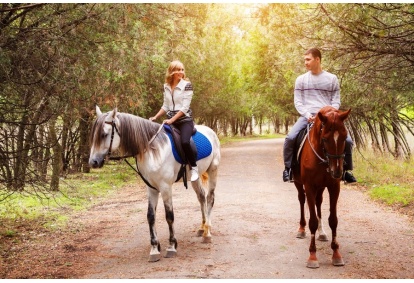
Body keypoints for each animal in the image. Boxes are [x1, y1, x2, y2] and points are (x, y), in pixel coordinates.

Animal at [89, 106, 222, 262]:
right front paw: (154, 248)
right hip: (194, 178)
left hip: (213, 170)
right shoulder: (151, 188)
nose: (93, 162)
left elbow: (169, 216)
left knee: (210, 198)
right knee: (201, 197)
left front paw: (171, 246)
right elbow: (150, 216)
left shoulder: (165, 187)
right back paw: (202, 228)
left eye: (104, 134)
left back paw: (208, 232)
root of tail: (210, 130)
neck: (153, 150)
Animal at [292, 105, 350, 270]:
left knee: (318, 203)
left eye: (344, 137)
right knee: (301, 200)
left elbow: (333, 220)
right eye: (324, 138)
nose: (336, 171)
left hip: (321, 187)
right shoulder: (309, 186)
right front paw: (312, 256)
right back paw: (301, 229)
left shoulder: (334, 187)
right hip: (299, 184)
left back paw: (322, 232)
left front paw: (336, 254)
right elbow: (311, 221)